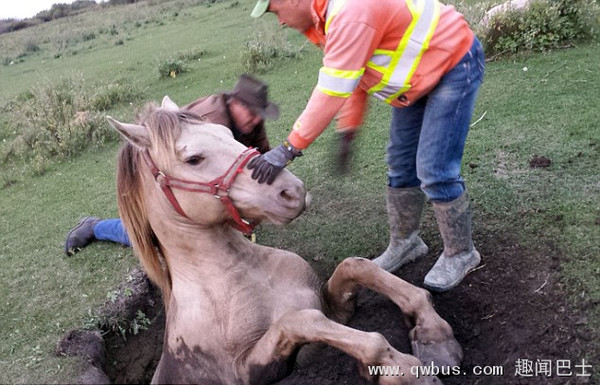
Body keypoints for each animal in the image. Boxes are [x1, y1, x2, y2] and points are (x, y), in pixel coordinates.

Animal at [109, 97, 464, 384]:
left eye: (227, 132)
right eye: (193, 159)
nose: (292, 191)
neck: (237, 275)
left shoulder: (333, 307)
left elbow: (356, 266)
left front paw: (434, 336)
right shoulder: (254, 371)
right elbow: (301, 321)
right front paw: (405, 371)